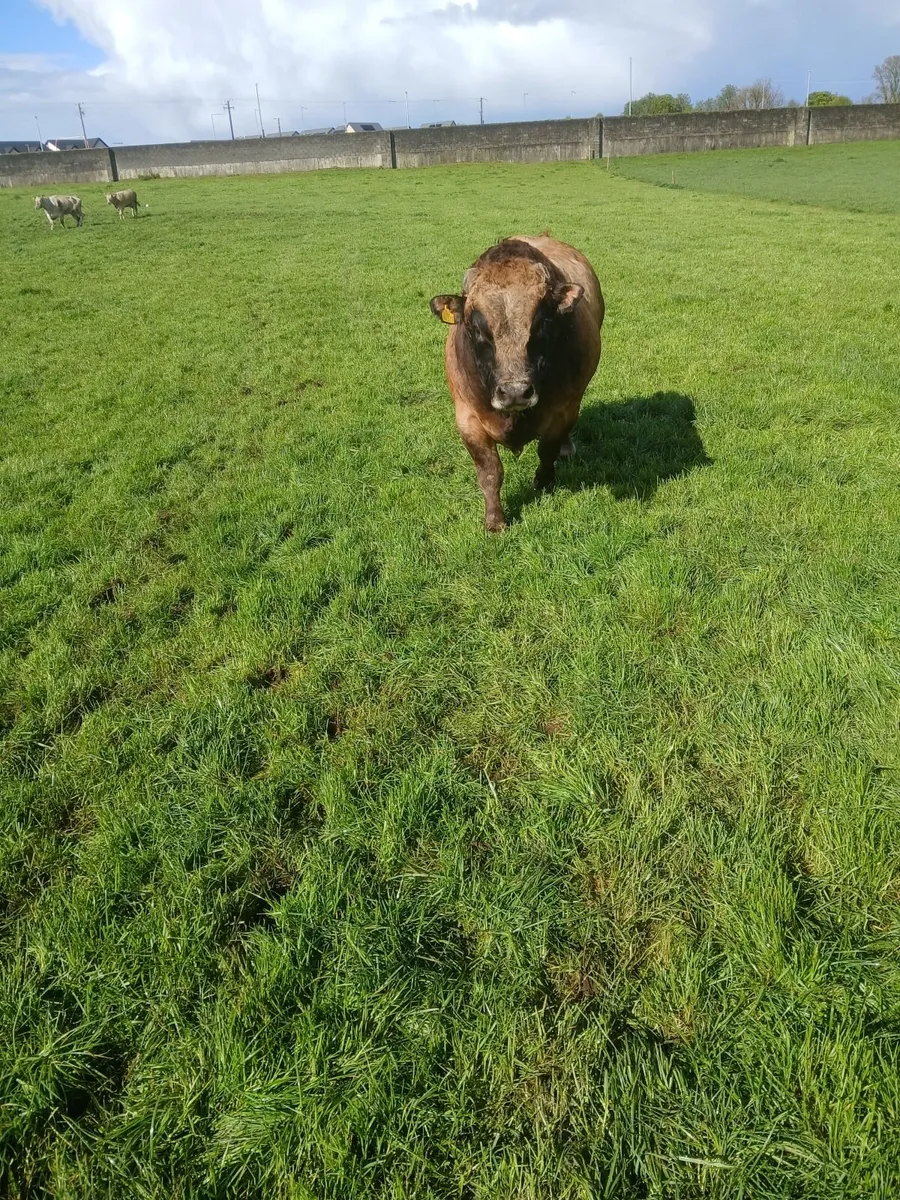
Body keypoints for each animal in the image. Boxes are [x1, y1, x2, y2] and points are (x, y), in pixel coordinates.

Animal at [429, 234, 604, 531]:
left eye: (542, 323)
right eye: (477, 329)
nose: (515, 393)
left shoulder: (563, 411)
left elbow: (547, 450)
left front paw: (543, 484)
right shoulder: (467, 419)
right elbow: (490, 472)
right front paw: (495, 520)